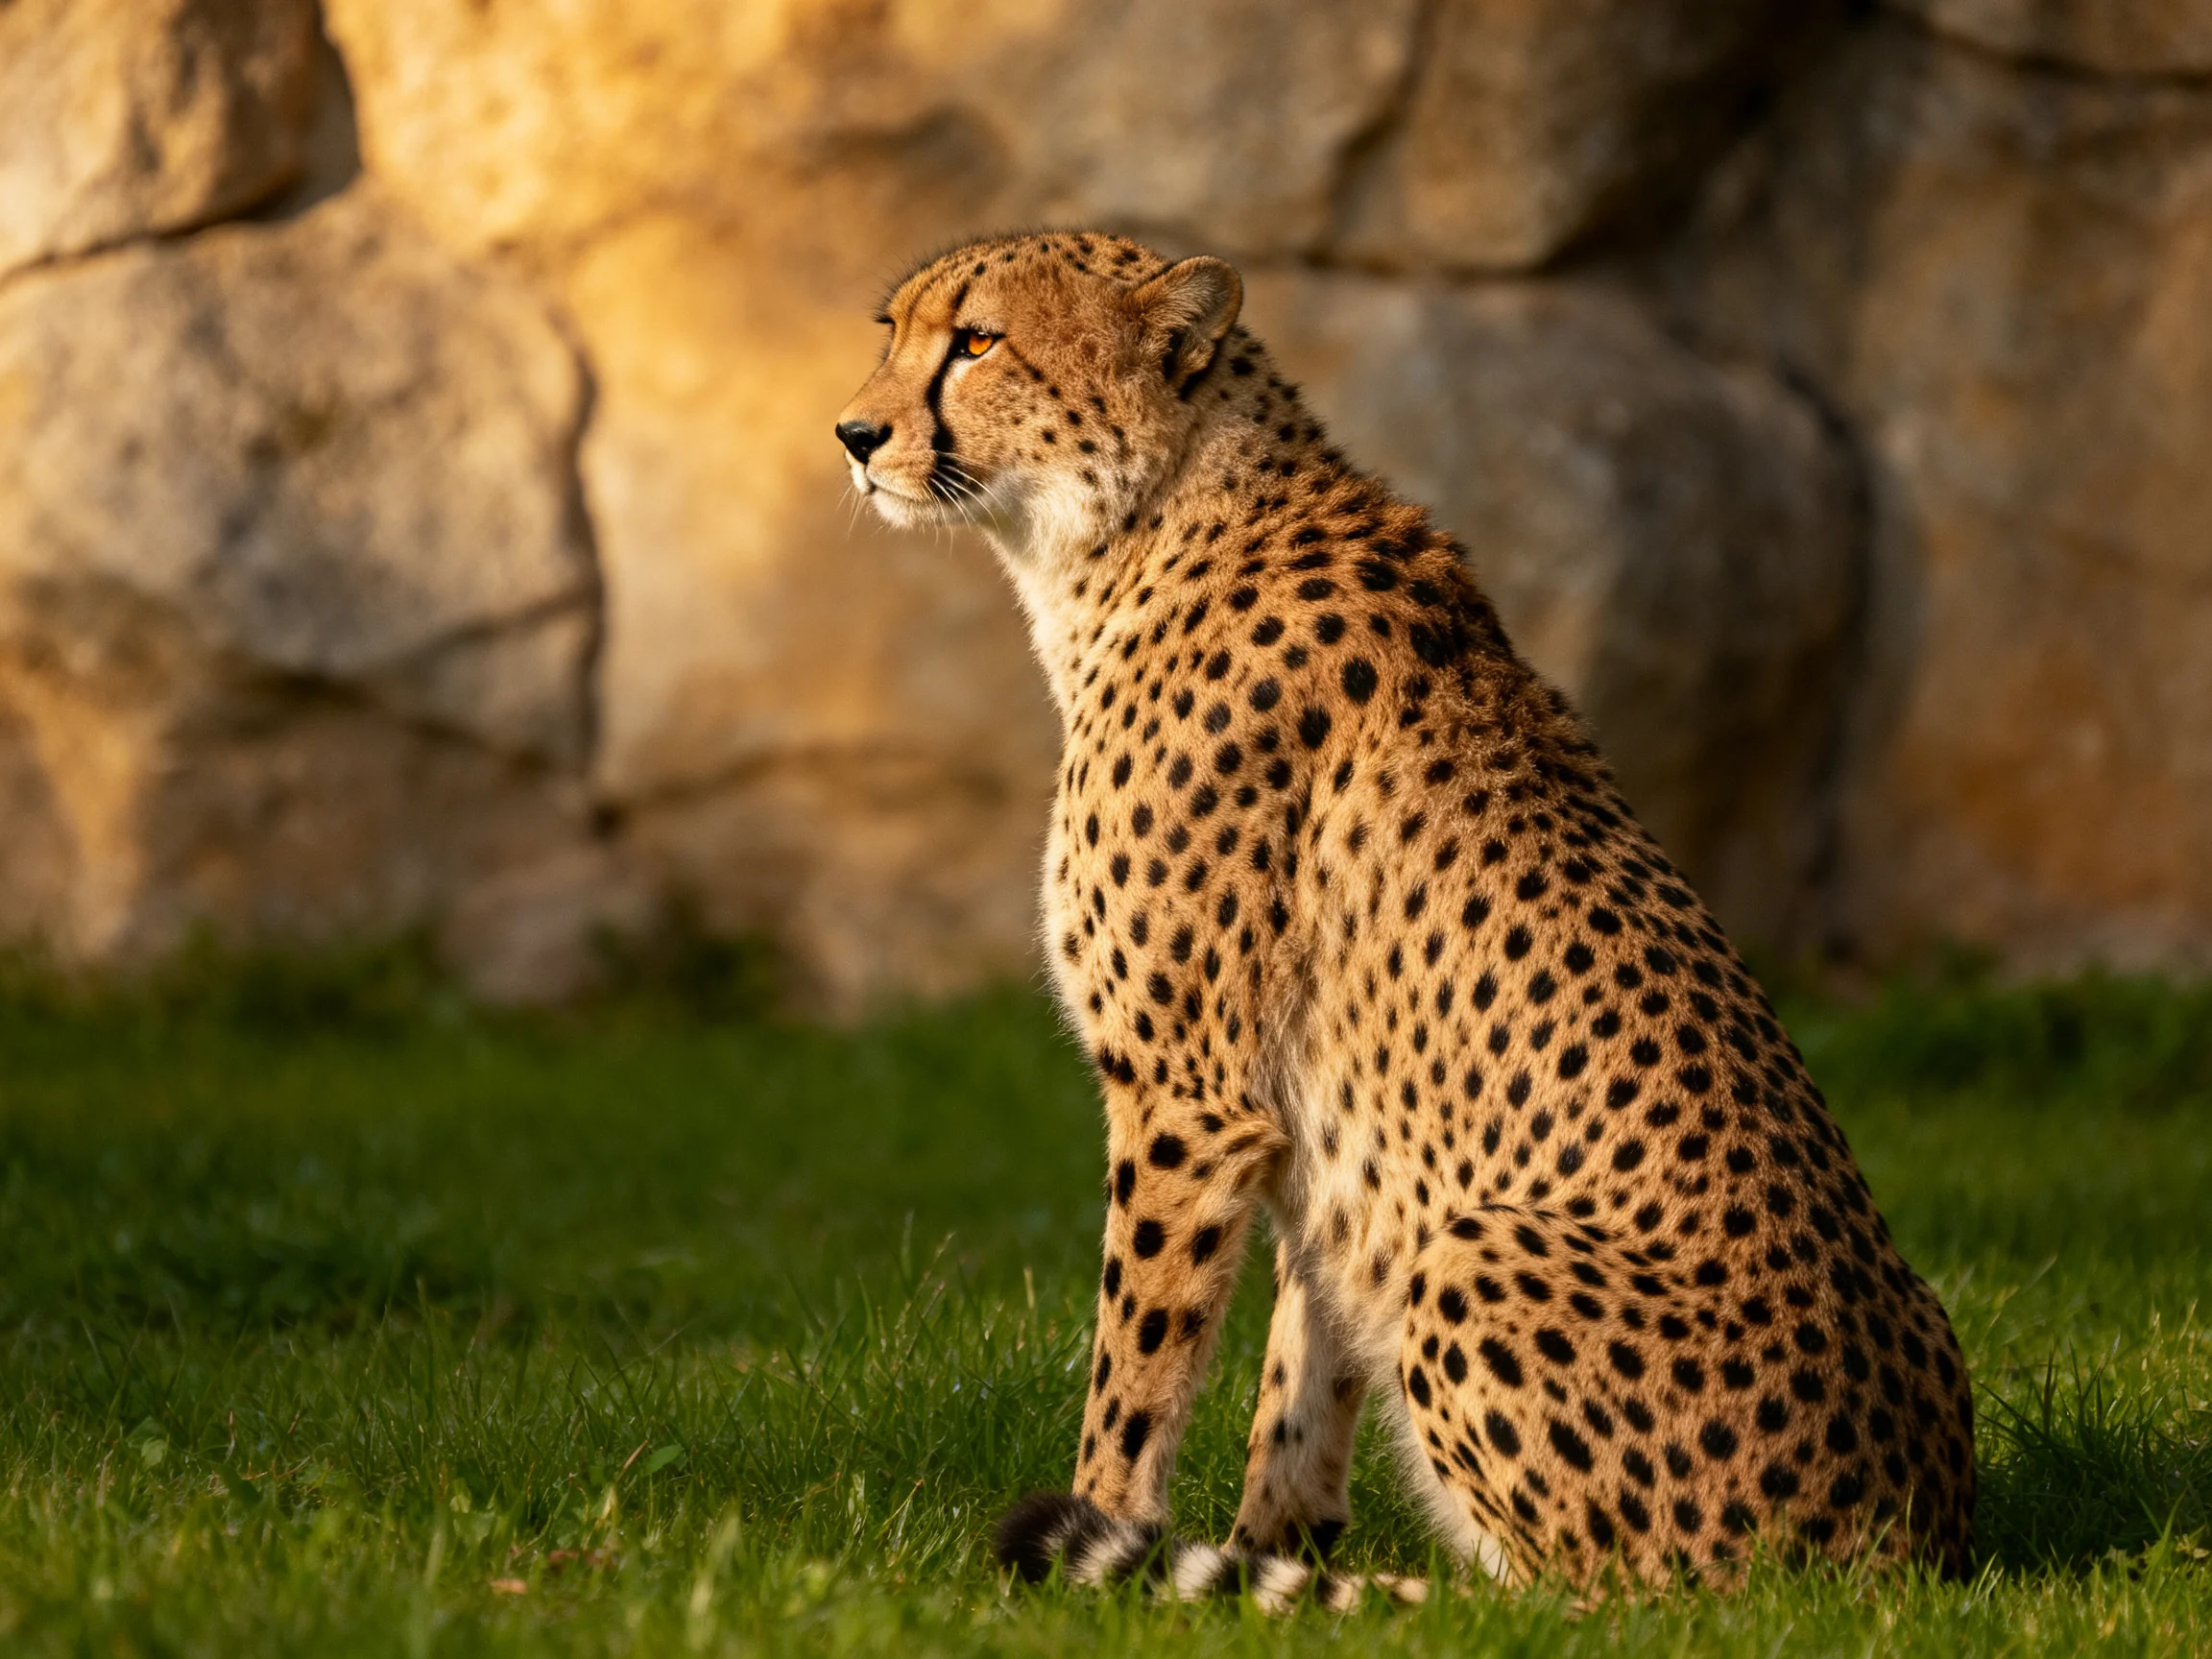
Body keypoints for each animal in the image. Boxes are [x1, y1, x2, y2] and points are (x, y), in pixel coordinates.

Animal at [834, 229, 1975, 1610]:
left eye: (979, 341)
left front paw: (1094, 1548)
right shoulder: (1331, 1148)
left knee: (1583, 1606)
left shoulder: (1189, 1099)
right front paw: (1261, 1558)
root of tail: (1902, 1544)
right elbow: (1300, 1369)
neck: (1143, 530)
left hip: (1477, 1252)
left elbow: (1138, 1359)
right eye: (894, 329)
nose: (853, 433)